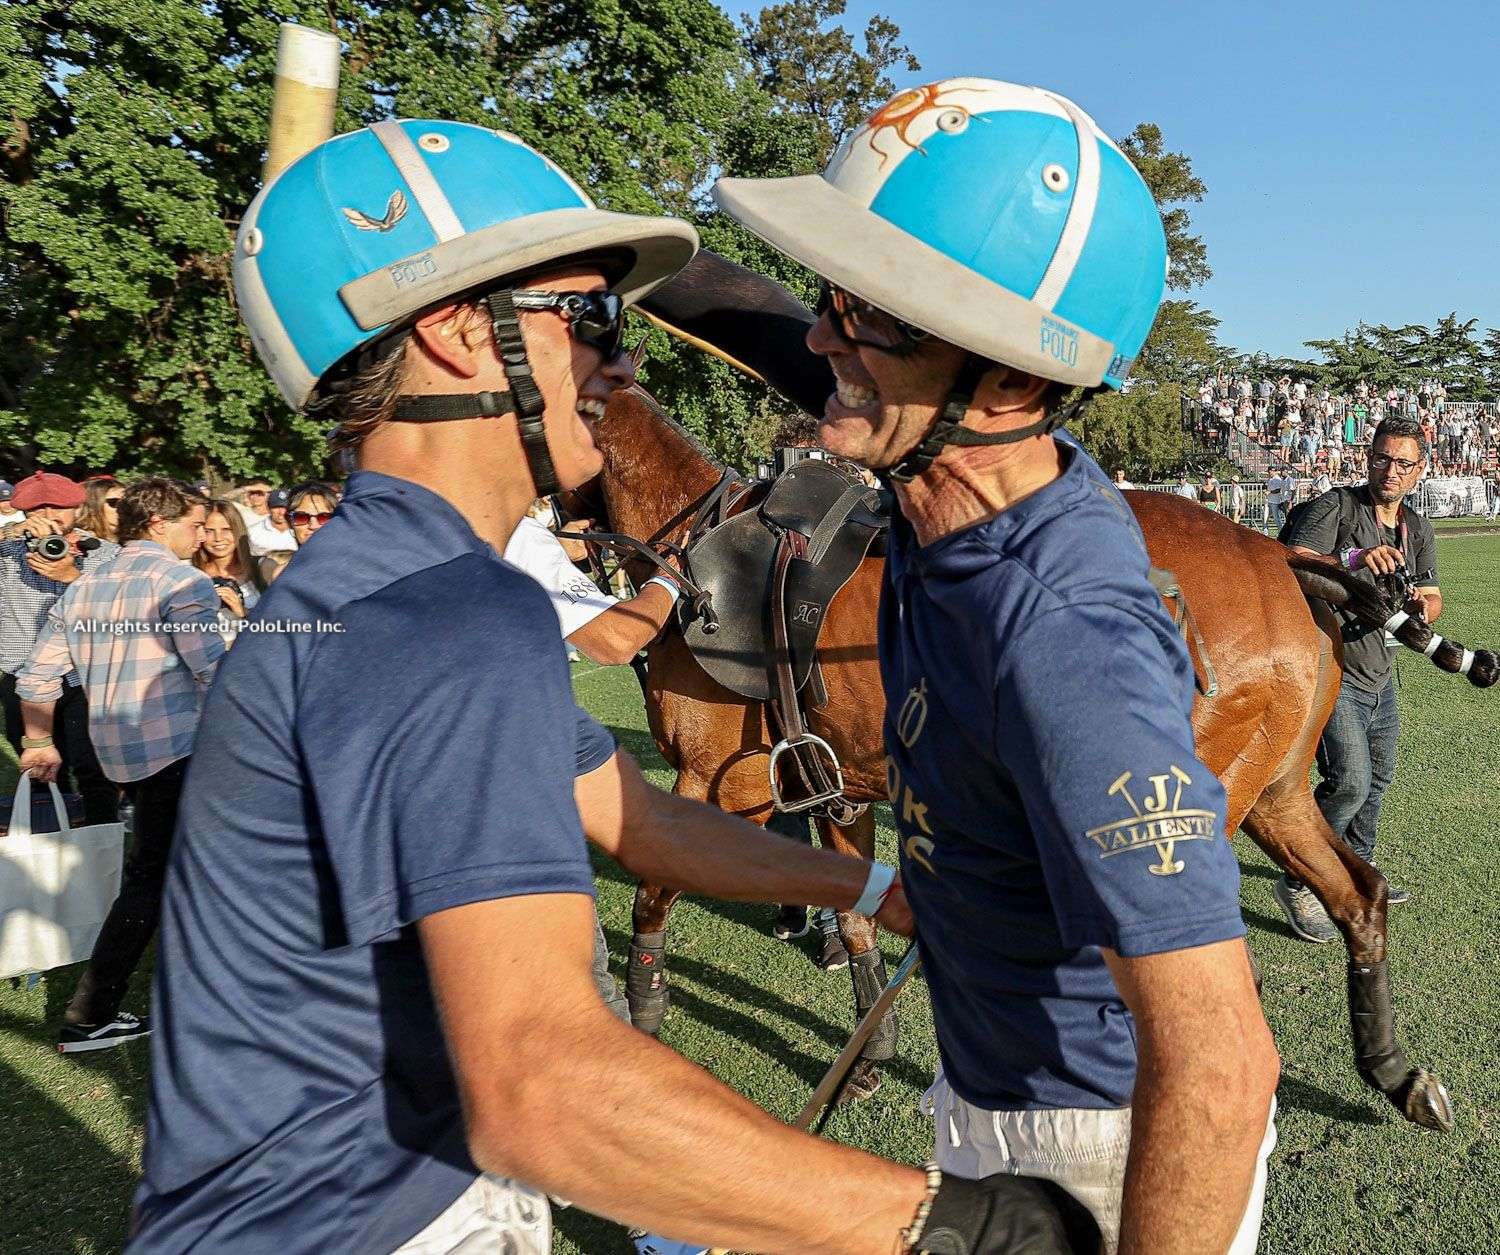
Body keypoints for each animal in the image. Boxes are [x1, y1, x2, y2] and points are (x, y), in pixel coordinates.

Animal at [573, 376, 1500, 1133]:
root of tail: (1280, 550)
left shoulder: (716, 782)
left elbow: (651, 894)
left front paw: (643, 1010)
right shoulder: (835, 780)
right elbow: (858, 914)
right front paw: (869, 1053)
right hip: (1271, 784)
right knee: (1359, 894)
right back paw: (1395, 1073)